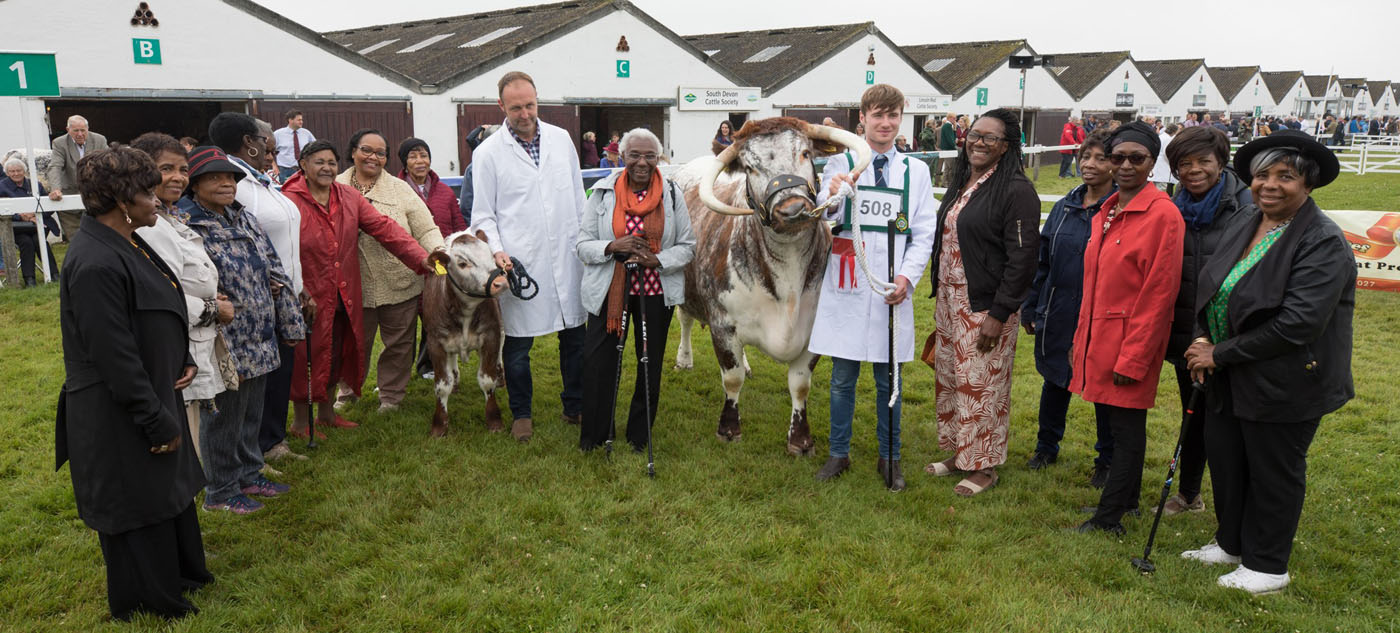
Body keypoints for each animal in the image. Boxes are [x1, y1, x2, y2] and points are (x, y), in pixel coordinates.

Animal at [425, 229, 515, 436]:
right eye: (462, 263)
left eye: (491, 256)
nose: (500, 282)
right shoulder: (435, 342)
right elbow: (442, 385)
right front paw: (439, 425)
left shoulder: (491, 335)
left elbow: (487, 380)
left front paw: (494, 421)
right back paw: (456, 381)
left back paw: (500, 377)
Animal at [666, 117, 862, 453]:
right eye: (749, 167)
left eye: (806, 153)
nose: (792, 209)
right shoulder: (722, 324)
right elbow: (731, 379)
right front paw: (729, 429)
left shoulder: (813, 330)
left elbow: (800, 384)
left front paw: (801, 439)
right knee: (686, 320)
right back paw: (684, 359)